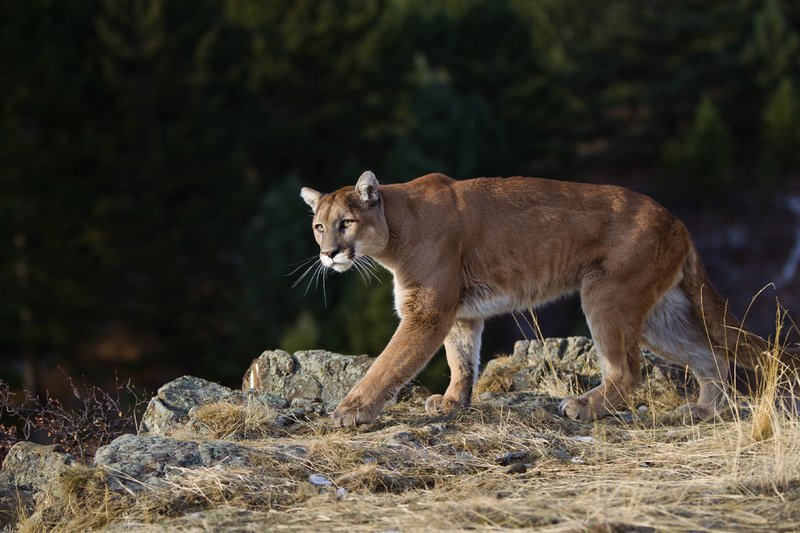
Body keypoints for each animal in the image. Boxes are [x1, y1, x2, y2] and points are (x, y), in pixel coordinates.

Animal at [300, 171, 798, 427]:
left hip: (607, 293)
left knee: (630, 370)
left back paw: (585, 406)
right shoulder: (459, 314)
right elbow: (462, 360)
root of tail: (676, 220)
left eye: (346, 222)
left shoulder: (427, 311)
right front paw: (453, 402)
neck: (397, 228)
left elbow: (389, 364)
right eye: (319, 226)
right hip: (659, 312)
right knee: (708, 352)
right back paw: (704, 409)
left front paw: (351, 410)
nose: (328, 253)